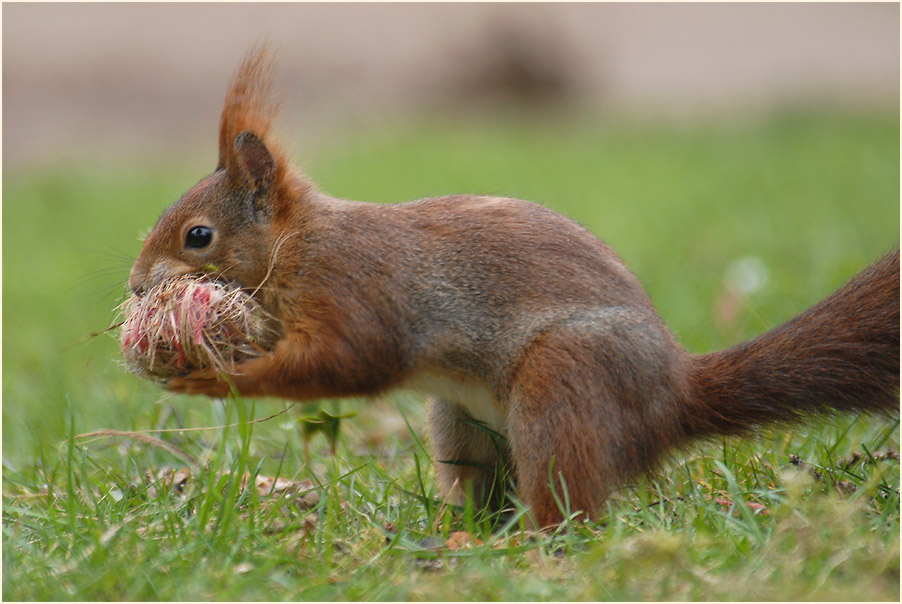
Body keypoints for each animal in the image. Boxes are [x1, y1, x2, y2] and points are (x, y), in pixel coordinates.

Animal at [128, 47, 900, 527]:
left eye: (198, 236)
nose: (136, 287)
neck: (299, 245)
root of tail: (673, 398)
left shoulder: (356, 289)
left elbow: (352, 361)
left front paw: (212, 379)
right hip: (462, 423)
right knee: (486, 488)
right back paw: (460, 537)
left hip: (566, 383)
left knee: (572, 504)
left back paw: (537, 545)